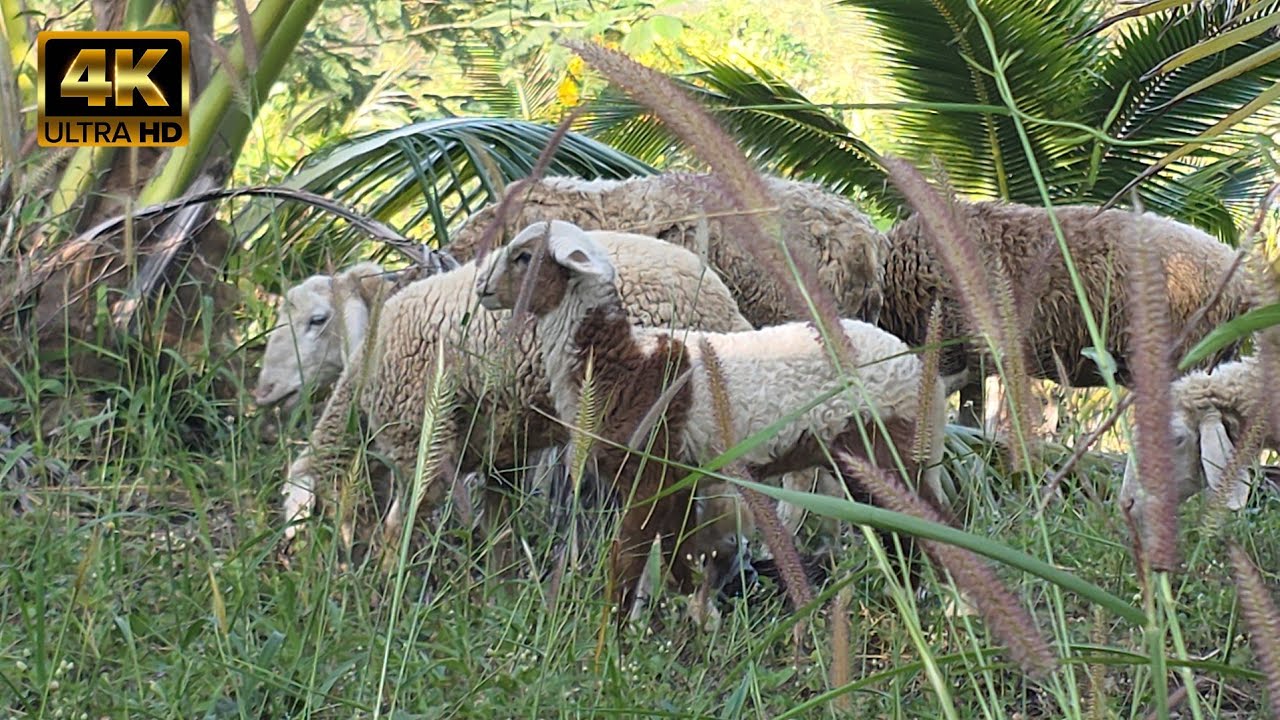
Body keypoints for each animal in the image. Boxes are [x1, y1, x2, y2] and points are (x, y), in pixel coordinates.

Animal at [282, 229, 758, 558]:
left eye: (317, 321)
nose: (291, 565)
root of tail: (726, 311)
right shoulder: (503, 453)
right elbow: (500, 531)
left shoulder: (421, 437)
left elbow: (403, 522)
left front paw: (385, 590)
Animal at [474, 220, 950, 617]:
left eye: (523, 256)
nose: (482, 289)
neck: (626, 364)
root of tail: (923, 373)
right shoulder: (681, 481)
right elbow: (676, 560)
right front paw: (687, 624)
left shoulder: (651, 474)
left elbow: (627, 559)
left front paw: (616, 637)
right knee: (901, 534)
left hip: (891, 447)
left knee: (933, 525)